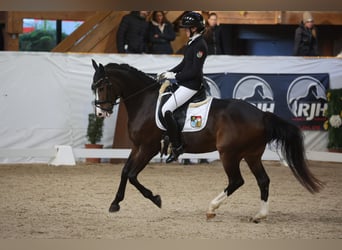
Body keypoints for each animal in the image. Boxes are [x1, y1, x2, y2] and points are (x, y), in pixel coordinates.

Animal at [89, 59, 322, 223]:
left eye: (103, 86)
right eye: (94, 87)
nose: (101, 113)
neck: (146, 102)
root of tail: (261, 114)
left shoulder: (148, 148)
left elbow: (132, 175)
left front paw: (156, 199)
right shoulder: (137, 147)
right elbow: (124, 172)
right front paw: (115, 204)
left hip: (229, 154)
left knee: (236, 181)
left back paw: (211, 209)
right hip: (252, 155)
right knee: (263, 181)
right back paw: (259, 216)